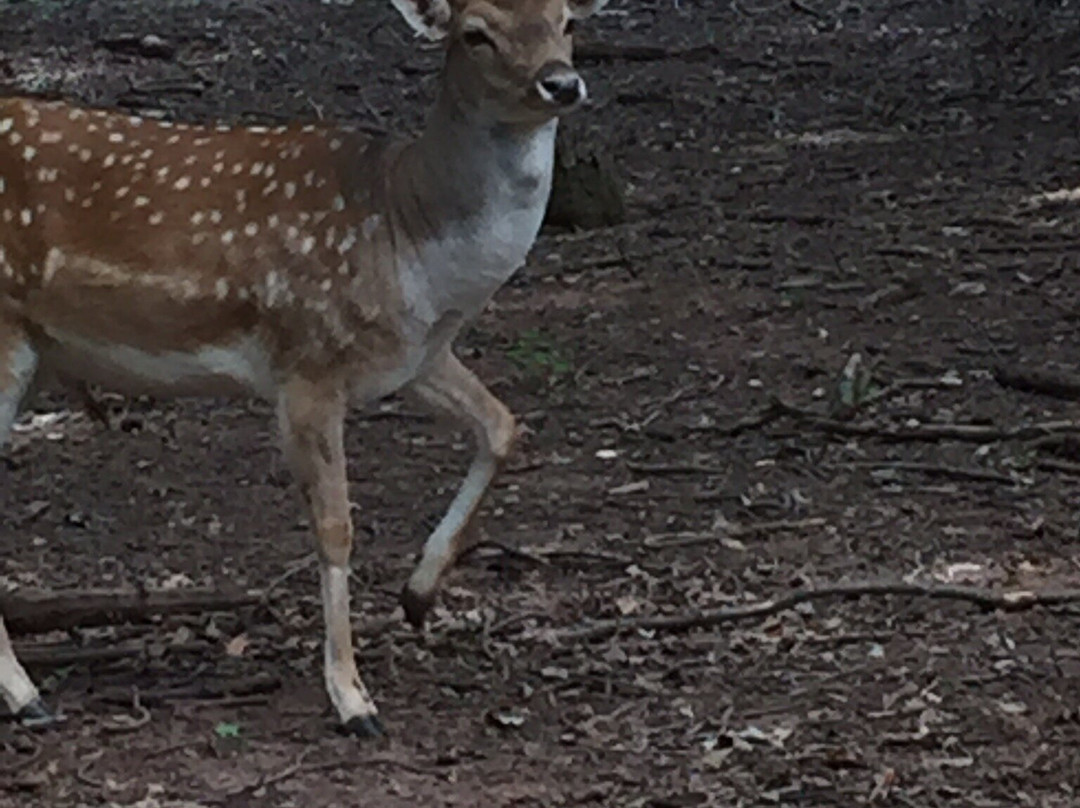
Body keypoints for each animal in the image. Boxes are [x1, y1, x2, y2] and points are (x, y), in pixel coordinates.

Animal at [0, 0, 609, 734]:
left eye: (569, 19)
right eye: (476, 33)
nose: (561, 84)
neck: (408, 242)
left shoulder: (413, 359)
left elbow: (502, 426)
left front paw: (417, 596)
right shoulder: (307, 363)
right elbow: (335, 527)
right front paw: (352, 698)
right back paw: (28, 697)